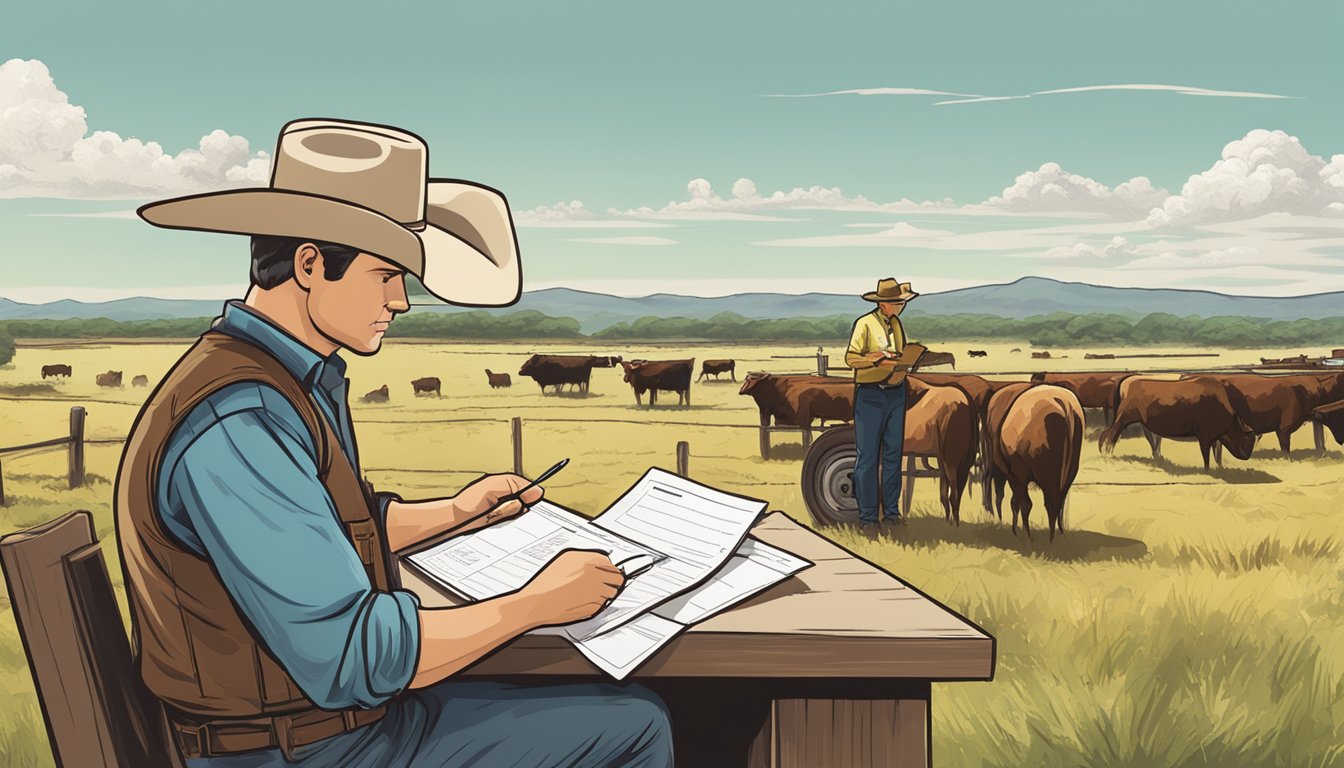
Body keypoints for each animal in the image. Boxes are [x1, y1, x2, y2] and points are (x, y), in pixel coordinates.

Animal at [983, 381, 1085, 540]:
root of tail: (1064, 405)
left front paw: (1020, 532)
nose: (993, 514)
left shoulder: (1017, 475)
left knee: (1047, 504)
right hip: (1068, 473)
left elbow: (1020, 503)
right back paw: (1058, 535)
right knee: (1057, 504)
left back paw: (1044, 537)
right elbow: (1017, 501)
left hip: (1046, 476)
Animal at [1102, 376, 1257, 470]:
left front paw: (1219, 467)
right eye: (1248, 439)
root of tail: (1128, 380)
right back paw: (1107, 455)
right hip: (1122, 419)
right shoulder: (1204, 437)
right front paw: (1208, 471)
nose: (1247, 456)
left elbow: (1216, 454)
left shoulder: (1214, 437)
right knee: (1111, 435)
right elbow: (1207, 456)